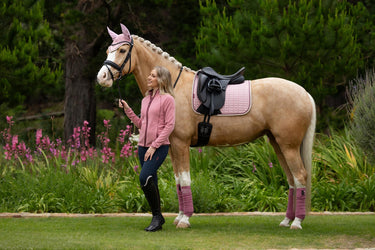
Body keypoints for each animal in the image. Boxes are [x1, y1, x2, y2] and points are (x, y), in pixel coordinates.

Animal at [95, 24, 316, 229]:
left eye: (122, 50)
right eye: (107, 50)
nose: (101, 78)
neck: (172, 87)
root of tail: (304, 93)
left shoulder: (181, 144)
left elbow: (185, 180)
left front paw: (185, 219)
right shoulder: (173, 147)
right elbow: (178, 182)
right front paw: (179, 217)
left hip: (288, 146)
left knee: (300, 177)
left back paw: (297, 222)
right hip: (278, 144)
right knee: (291, 180)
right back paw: (287, 220)